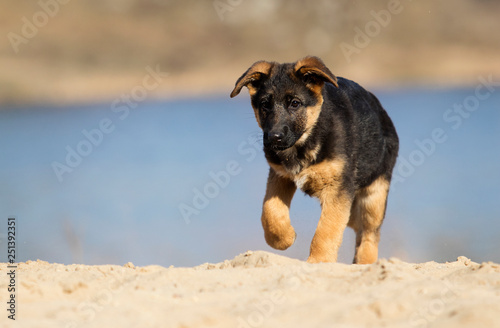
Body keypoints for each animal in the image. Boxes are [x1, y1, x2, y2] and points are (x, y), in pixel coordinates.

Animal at [230, 57, 398, 264]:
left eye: (295, 103)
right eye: (264, 105)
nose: (273, 138)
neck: (307, 139)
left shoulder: (338, 188)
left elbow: (326, 230)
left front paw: (319, 260)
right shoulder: (280, 175)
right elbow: (270, 210)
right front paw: (283, 238)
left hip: (374, 197)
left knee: (369, 234)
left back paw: (365, 262)